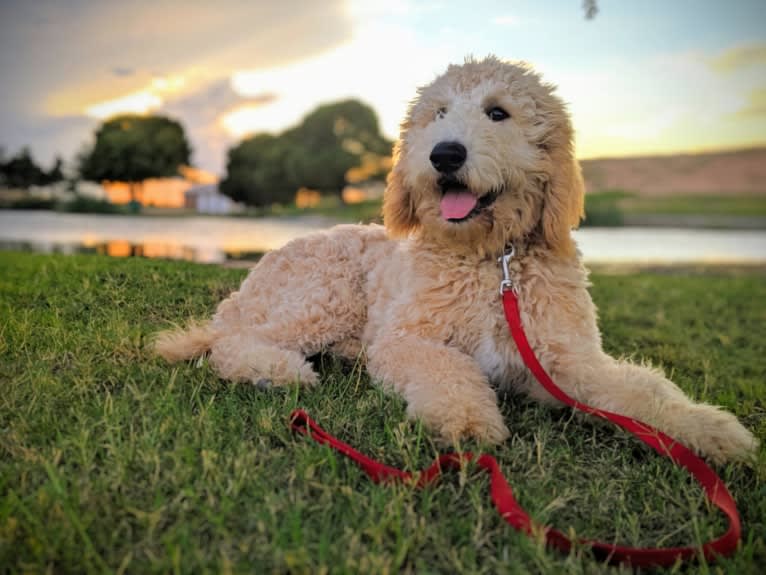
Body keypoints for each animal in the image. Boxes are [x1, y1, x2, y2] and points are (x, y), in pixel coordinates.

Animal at [156, 56, 756, 466]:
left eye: (498, 113)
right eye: (438, 113)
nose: (444, 153)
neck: (493, 263)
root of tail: (253, 278)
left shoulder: (567, 360)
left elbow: (642, 389)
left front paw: (707, 429)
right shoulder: (408, 339)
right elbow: (449, 370)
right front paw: (466, 422)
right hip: (327, 295)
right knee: (229, 344)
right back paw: (275, 371)